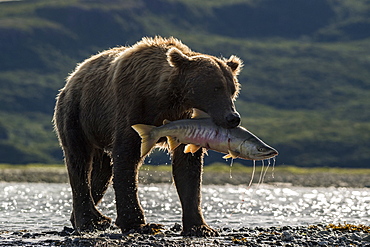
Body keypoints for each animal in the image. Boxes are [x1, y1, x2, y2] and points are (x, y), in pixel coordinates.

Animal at [52, 35, 243, 236]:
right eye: (215, 88)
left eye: (233, 89)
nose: (232, 118)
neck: (166, 98)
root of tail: (72, 77)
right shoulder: (133, 106)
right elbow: (127, 157)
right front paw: (138, 223)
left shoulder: (184, 121)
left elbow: (187, 167)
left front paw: (200, 227)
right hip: (77, 114)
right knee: (79, 162)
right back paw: (89, 220)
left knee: (101, 172)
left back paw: (90, 218)